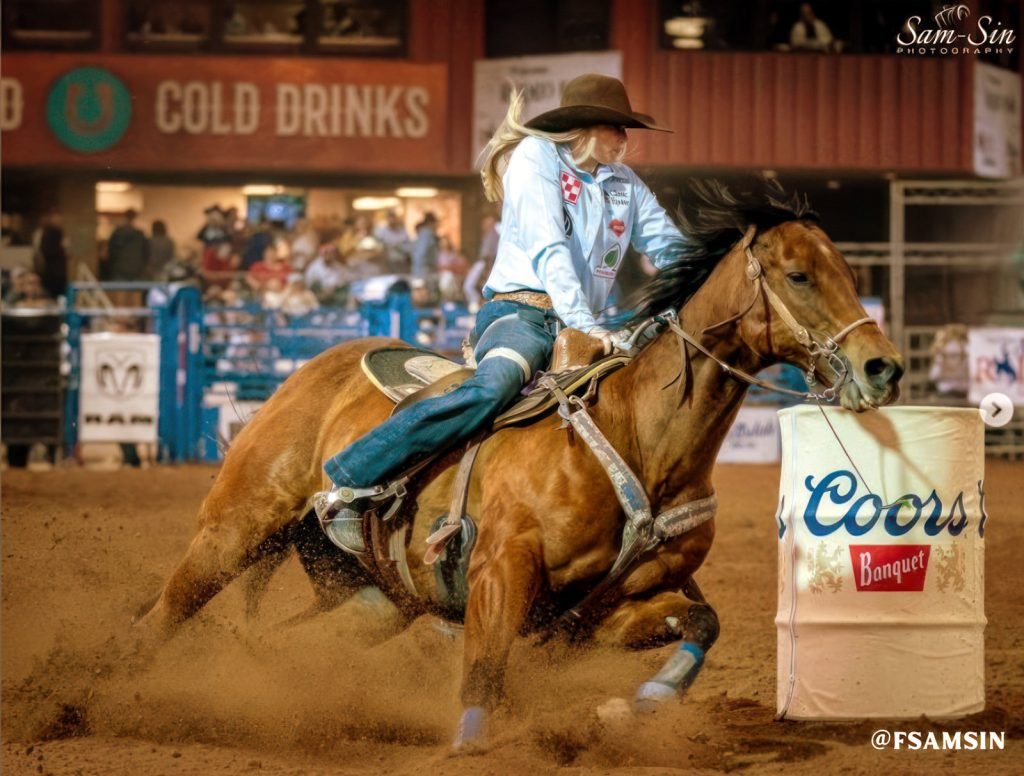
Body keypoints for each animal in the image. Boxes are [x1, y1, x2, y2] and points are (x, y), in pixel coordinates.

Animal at [135, 181, 903, 749]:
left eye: (850, 272)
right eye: (799, 275)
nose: (884, 367)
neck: (641, 442)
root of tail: (310, 370)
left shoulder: (596, 613)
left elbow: (703, 625)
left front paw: (631, 707)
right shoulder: (501, 570)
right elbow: (483, 676)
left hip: (372, 600)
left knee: (279, 642)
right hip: (234, 529)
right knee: (164, 613)